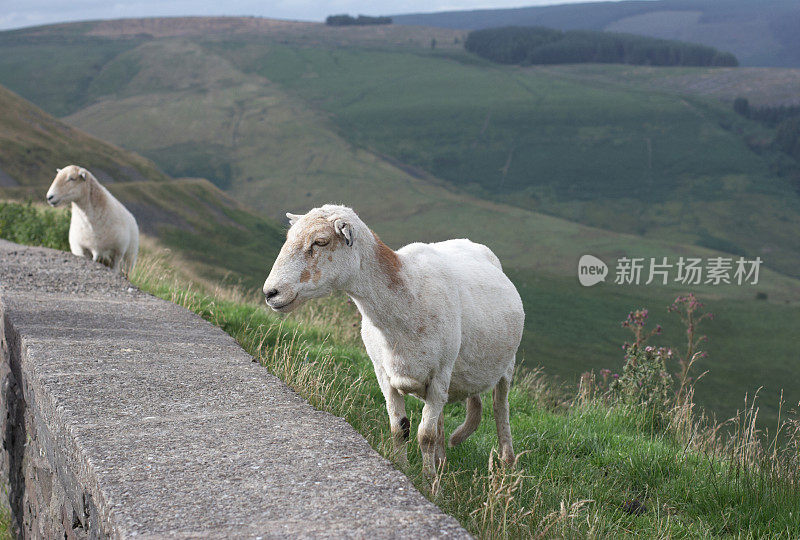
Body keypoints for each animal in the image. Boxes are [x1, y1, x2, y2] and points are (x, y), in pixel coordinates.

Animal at [262, 204, 524, 476]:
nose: (271, 293)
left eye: (320, 242)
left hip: (506, 365)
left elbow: (425, 435)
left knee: (500, 408)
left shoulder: (440, 374)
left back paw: (506, 464)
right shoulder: (384, 374)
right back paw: (442, 463)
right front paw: (404, 467)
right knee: (441, 420)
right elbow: (400, 429)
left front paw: (429, 482)